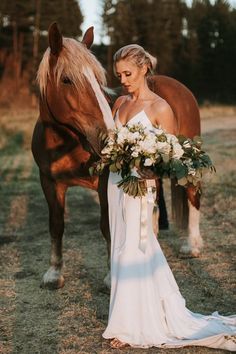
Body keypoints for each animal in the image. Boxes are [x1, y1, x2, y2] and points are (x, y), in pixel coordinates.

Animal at [31, 24, 201, 290]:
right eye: (67, 80)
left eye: (97, 79)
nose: (107, 135)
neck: (64, 142)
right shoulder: (49, 182)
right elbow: (56, 225)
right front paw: (54, 273)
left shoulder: (104, 183)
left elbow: (106, 226)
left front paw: (111, 277)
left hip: (186, 163)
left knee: (193, 195)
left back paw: (191, 245)